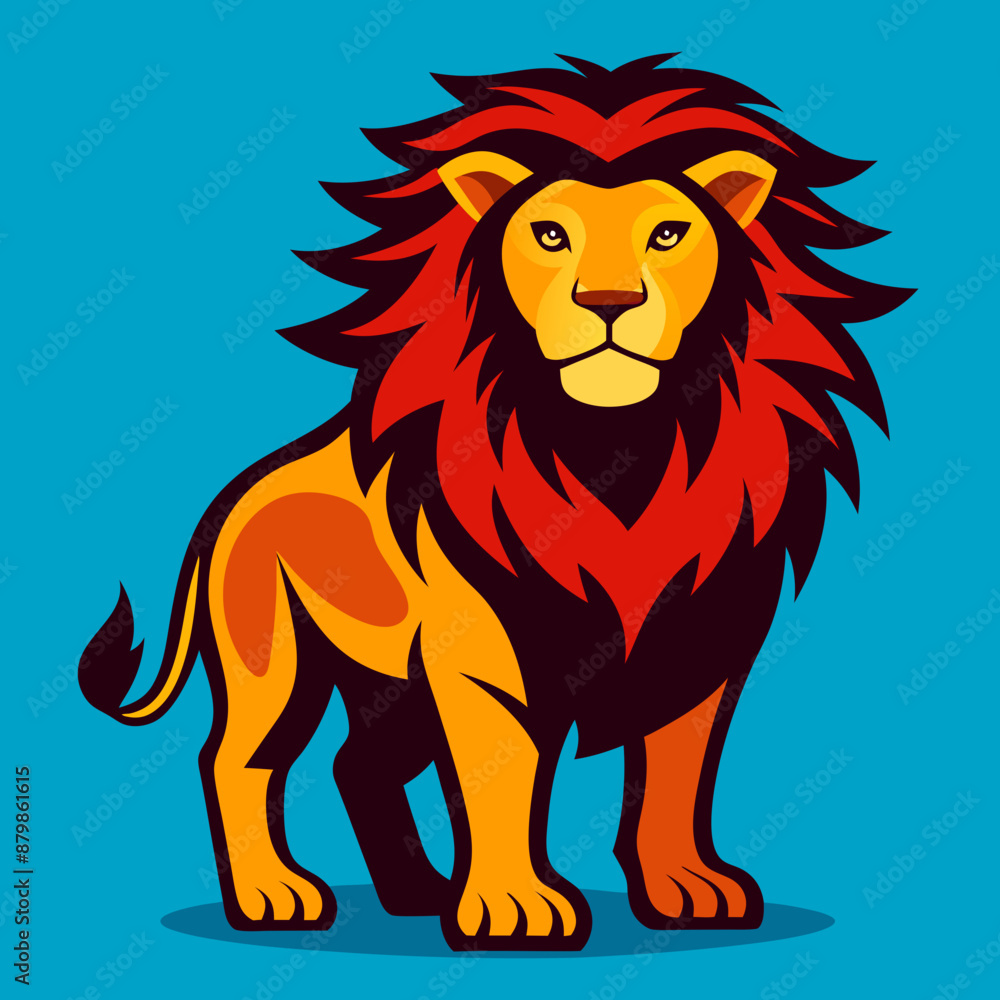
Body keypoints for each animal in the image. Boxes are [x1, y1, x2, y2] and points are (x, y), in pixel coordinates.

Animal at [80, 54, 911, 951]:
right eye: (549, 235)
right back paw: (276, 896)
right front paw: (516, 909)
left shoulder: (701, 639)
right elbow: (501, 773)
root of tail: (229, 504)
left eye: (668, 233)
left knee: (354, 763)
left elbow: (675, 777)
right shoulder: (481, 649)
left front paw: (687, 889)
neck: (620, 446)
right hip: (279, 661)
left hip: (392, 687)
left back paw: (416, 891)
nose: (609, 303)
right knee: (239, 760)